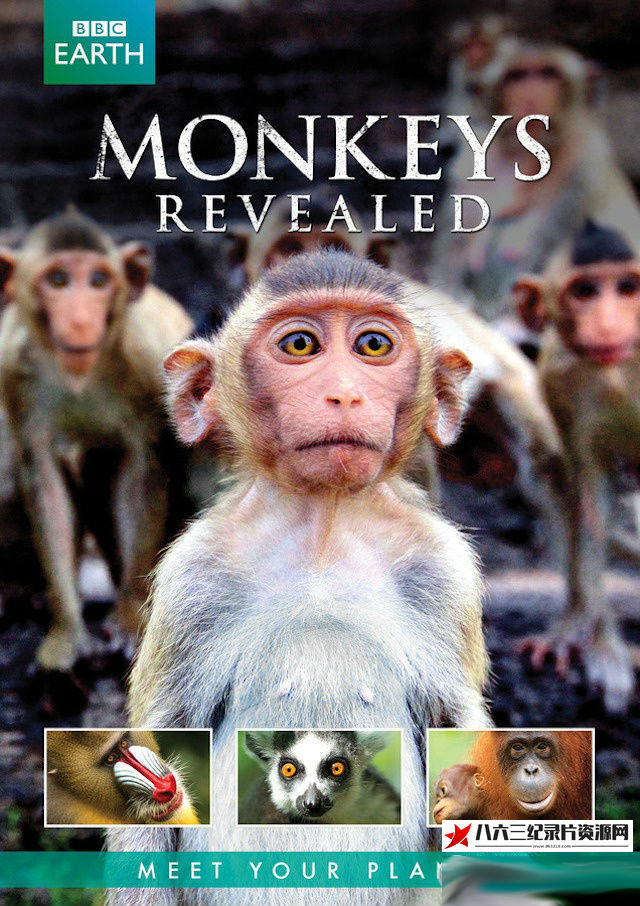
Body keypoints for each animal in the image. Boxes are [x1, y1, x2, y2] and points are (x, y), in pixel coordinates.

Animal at [0, 208, 195, 670]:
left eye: (98, 281)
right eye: (57, 281)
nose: (80, 319)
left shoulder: (145, 361)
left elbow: (142, 471)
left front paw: (128, 622)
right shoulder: (13, 370)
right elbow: (43, 478)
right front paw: (66, 632)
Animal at [514, 218, 640, 712]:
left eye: (627, 287)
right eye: (585, 291)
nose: (608, 323)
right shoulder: (559, 377)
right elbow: (590, 497)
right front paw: (601, 648)